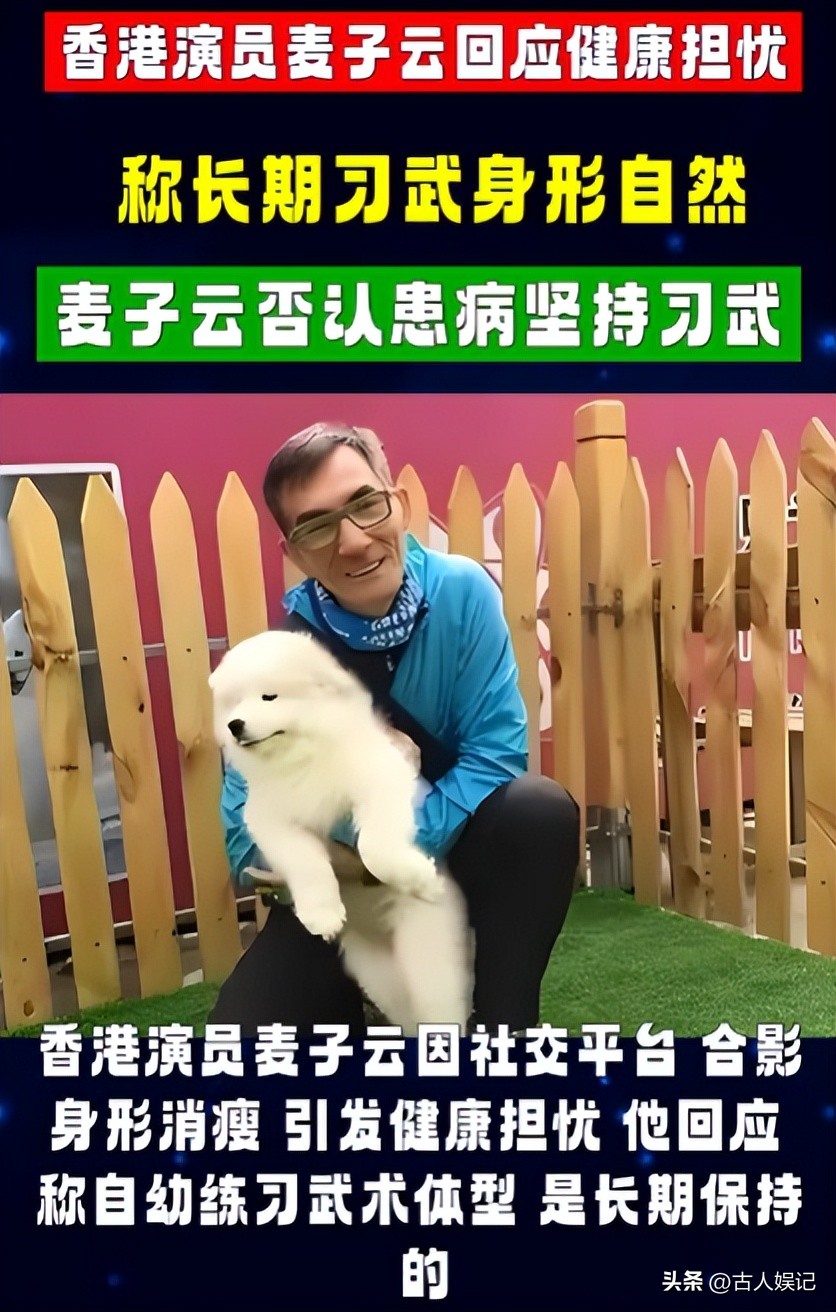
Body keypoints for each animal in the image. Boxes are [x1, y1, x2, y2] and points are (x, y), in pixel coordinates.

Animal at [209, 630, 472, 1033]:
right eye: (233, 703)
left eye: (269, 696)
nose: (234, 725)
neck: (301, 761)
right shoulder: (270, 819)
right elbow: (305, 862)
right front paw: (323, 913)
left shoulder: (380, 779)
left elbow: (375, 849)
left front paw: (419, 877)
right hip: (382, 977)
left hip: (428, 965)